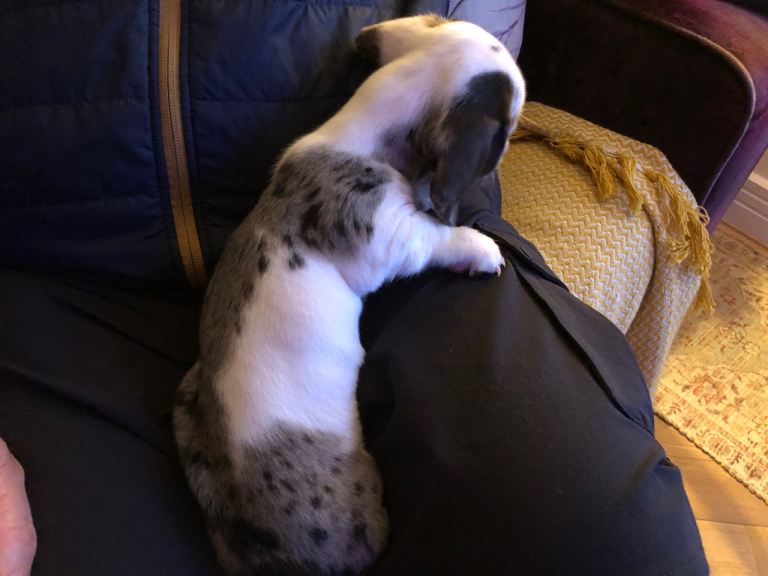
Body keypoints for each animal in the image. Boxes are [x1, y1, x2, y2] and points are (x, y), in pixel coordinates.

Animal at [174, 14, 525, 576]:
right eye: (509, 126)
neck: (358, 138)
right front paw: (478, 246)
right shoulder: (390, 234)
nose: (516, 141)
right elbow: (436, 235)